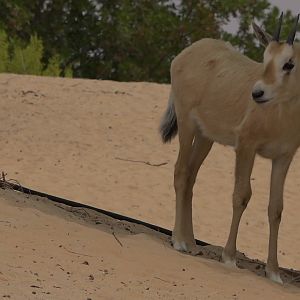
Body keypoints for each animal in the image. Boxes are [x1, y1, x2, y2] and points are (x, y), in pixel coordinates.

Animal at [161, 12, 300, 284]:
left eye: (289, 63)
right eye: (265, 57)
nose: (257, 93)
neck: (281, 113)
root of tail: (188, 52)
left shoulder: (283, 158)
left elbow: (276, 208)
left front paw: (274, 272)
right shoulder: (246, 146)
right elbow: (241, 195)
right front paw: (229, 257)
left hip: (205, 137)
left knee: (191, 177)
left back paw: (192, 243)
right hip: (186, 124)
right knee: (180, 172)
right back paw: (179, 241)